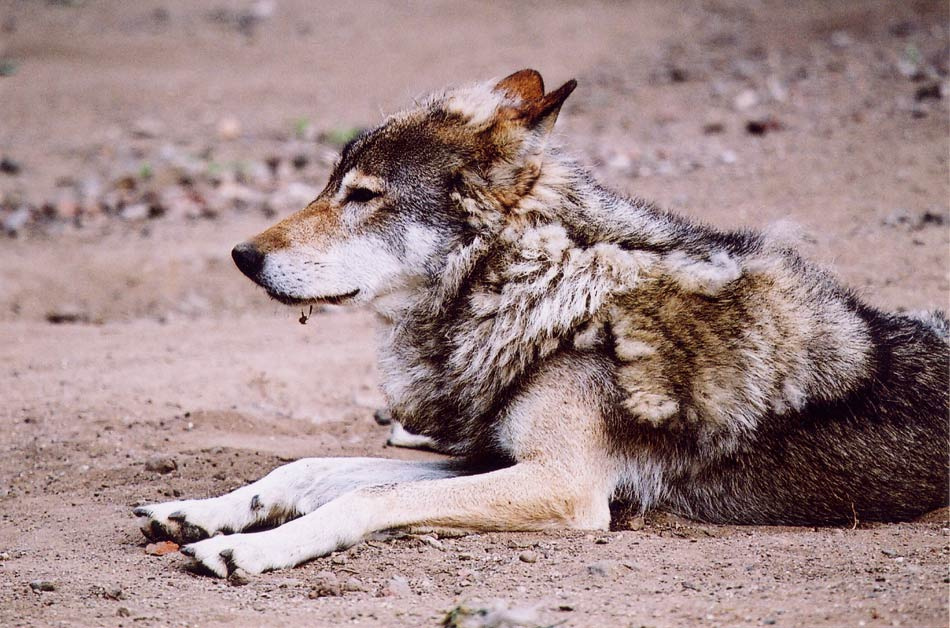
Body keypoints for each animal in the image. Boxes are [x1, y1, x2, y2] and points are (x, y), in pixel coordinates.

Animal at [134, 69, 949, 577]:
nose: (241, 256)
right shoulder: (495, 455)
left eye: (362, 195)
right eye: (328, 186)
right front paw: (197, 513)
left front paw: (250, 552)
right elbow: (311, 468)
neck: (536, 287)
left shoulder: (563, 484)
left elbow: (370, 496)